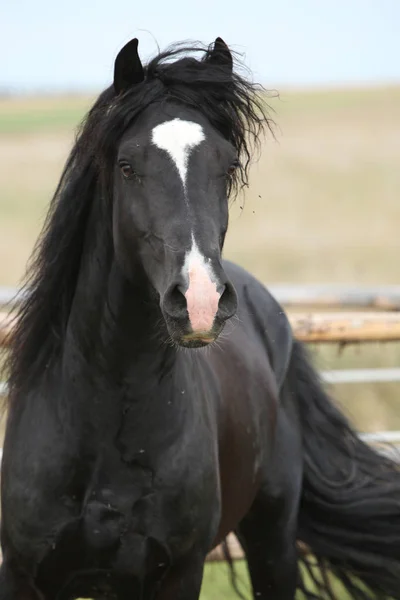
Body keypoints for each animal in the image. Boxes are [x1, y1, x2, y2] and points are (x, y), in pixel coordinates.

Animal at [0, 38, 400, 600]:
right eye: (127, 166)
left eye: (227, 166)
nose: (201, 301)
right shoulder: (22, 573)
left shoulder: (178, 573)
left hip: (274, 538)